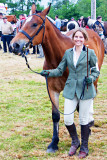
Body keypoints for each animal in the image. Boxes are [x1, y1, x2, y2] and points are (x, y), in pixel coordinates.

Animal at [10, 4, 104, 153]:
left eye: (34, 24)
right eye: (22, 23)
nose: (15, 45)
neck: (58, 57)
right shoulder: (52, 89)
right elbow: (56, 116)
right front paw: (54, 142)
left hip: (93, 79)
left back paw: (90, 122)